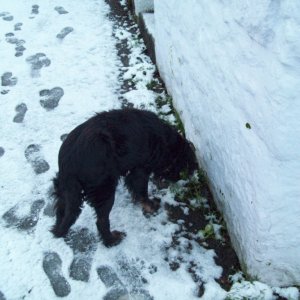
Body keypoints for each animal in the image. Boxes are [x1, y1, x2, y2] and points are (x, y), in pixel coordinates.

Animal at [52, 108, 197, 246]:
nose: (188, 176)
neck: (166, 142)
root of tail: (69, 163)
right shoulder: (140, 169)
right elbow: (142, 191)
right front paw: (150, 205)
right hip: (104, 189)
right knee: (101, 221)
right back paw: (112, 240)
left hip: (64, 189)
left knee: (61, 210)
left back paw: (56, 229)